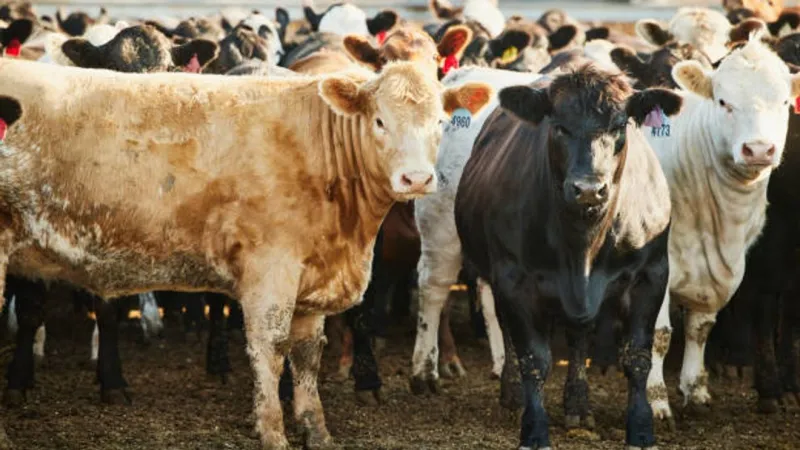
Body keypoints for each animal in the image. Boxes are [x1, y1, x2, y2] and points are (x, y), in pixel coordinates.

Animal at [0, 58, 491, 448]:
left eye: (440, 123)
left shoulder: (311, 278)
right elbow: (270, 350)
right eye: (380, 122)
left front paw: (316, 429)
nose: (416, 179)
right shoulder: (270, 271)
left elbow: (307, 354)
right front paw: (272, 431)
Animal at [644, 35, 800, 423]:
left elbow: (700, 327)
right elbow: (659, 333)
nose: (758, 149)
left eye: (784, 102)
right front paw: (656, 401)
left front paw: (696, 390)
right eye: (723, 101)